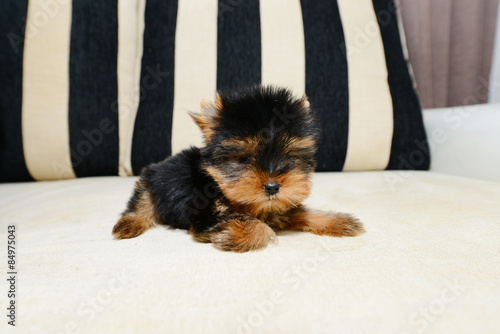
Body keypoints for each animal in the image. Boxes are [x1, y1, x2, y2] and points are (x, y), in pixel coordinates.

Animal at [113, 85, 364, 252]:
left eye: (290, 157)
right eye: (243, 159)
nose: (272, 187)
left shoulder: (280, 206)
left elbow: (300, 212)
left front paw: (339, 221)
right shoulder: (205, 216)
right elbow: (258, 226)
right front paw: (234, 236)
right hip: (151, 178)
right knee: (142, 200)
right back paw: (128, 224)